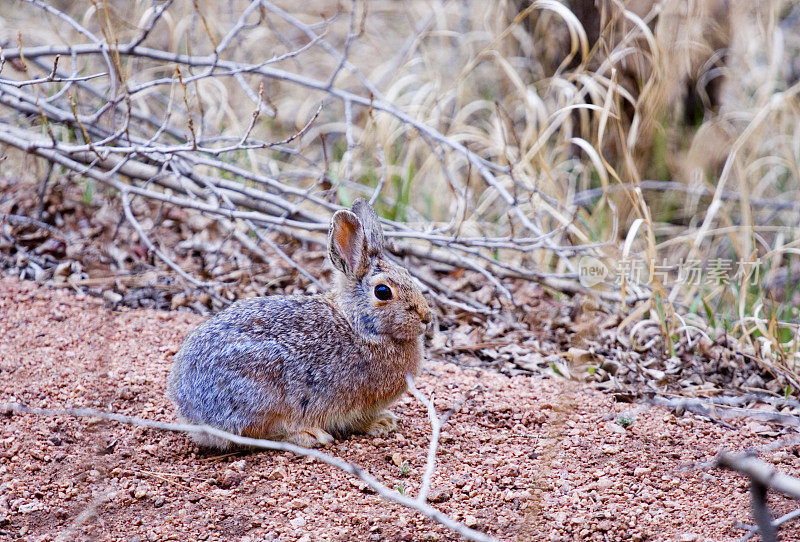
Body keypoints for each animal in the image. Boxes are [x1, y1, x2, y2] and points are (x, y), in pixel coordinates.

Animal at [167, 200, 432, 450]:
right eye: (383, 291)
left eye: (406, 273)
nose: (427, 317)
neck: (359, 327)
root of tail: (189, 409)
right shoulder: (352, 404)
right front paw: (380, 423)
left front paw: (386, 420)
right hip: (263, 395)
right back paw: (308, 435)